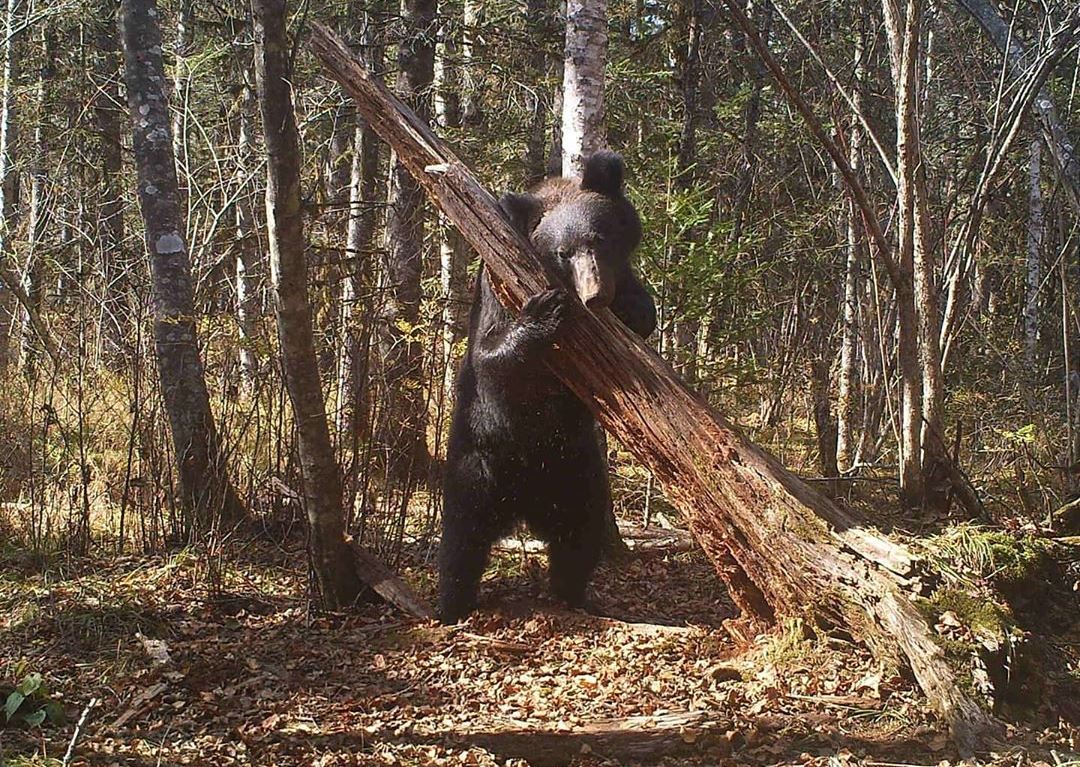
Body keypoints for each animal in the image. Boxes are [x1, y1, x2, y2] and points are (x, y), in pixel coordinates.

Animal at [438, 150, 656, 626]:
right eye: (562, 252)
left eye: (599, 238)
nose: (594, 295)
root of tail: (523, 504)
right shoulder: (498, 293)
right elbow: (491, 356)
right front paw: (544, 312)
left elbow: (644, 314)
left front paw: (631, 305)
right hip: (477, 464)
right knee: (461, 539)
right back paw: (451, 605)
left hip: (577, 471)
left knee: (581, 535)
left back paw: (573, 594)